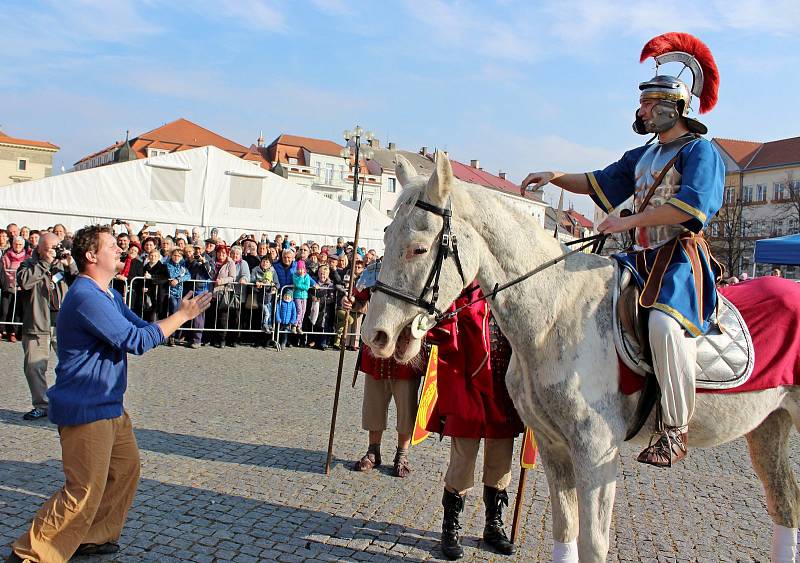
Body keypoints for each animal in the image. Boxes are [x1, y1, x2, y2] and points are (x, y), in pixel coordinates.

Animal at [364, 152, 800, 560]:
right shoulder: (554, 447)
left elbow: (593, 543)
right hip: (767, 426)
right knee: (785, 505)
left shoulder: (595, 453)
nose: (375, 336)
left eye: (419, 248)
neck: (555, 310)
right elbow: (566, 532)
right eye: (384, 237)